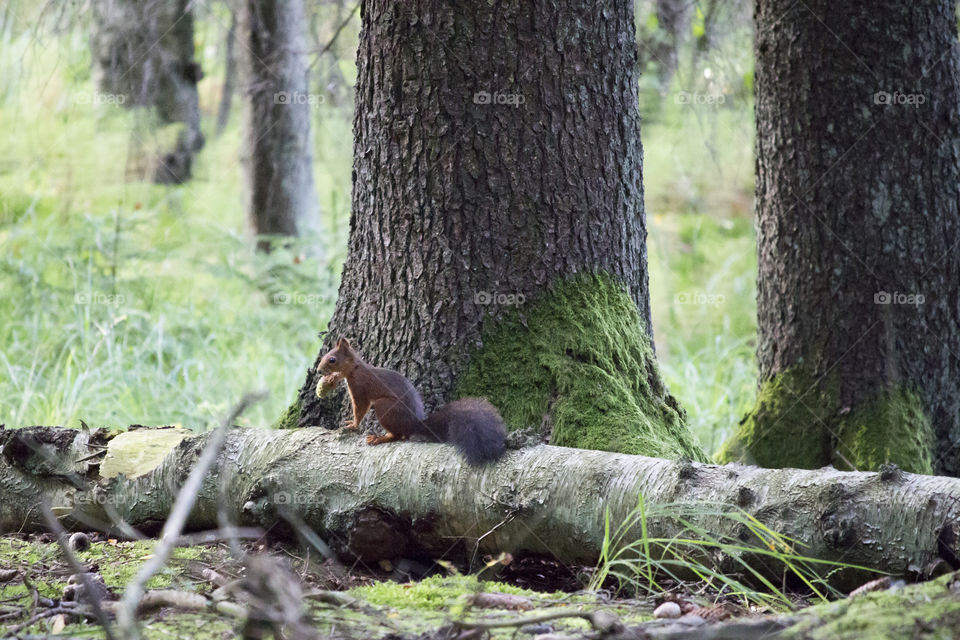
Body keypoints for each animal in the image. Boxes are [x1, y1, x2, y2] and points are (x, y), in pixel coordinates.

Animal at [316, 338, 507, 465]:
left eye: (332, 360)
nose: (319, 371)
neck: (356, 368)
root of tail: (414, 423)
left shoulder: (360, 388)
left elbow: (360, 408)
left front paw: (353, 424)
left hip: (385, 407)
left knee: (399, 435)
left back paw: (381, 438)